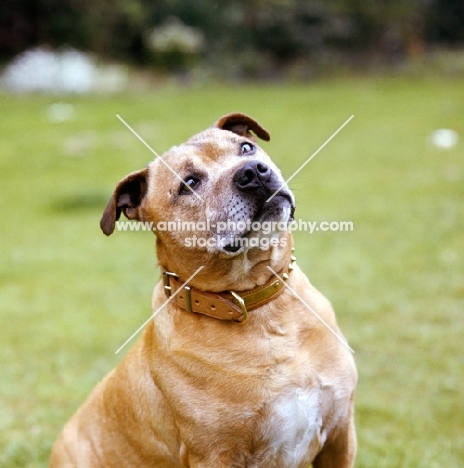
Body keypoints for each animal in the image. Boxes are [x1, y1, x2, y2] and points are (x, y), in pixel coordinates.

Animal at [49, 113, 356, 468]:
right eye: (189, 184)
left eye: (246, 148)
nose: (253, 172)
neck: (255, 304)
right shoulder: (213, 456)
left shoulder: (340, 433)